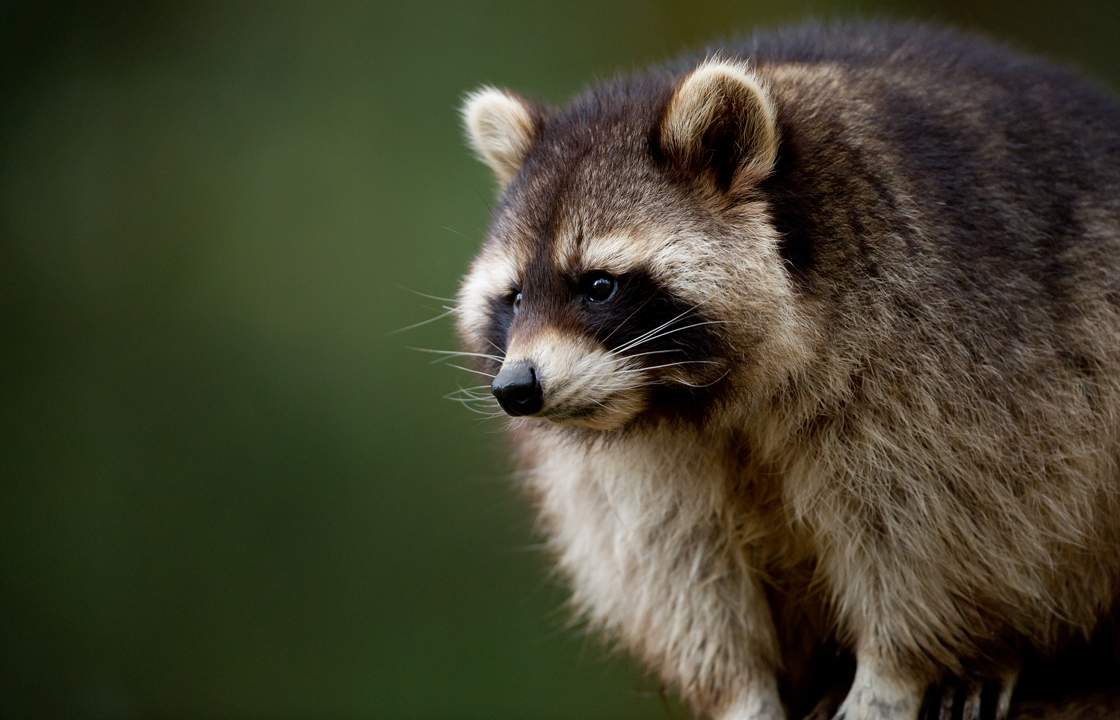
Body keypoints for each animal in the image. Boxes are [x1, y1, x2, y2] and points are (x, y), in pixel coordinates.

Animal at [454, 22, 1120, 720]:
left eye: (599, 286)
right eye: (516, 298)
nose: (516, 389)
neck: (691, 393)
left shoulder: (938, 357)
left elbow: (936, 526)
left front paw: (893, 671)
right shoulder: (635, 459)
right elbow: (676, 565)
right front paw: (737, 690)